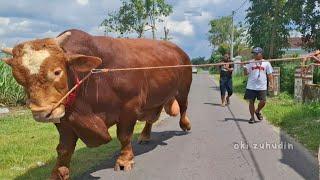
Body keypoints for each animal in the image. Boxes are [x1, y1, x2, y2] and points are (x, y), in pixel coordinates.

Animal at [0, 29, 192, 179]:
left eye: (57, 72)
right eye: (18, 78)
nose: (41, 113)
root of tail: (179, 50)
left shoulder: (129, 107)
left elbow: (124, 136)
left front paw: (124, 160)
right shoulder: (64, 117)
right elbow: (64, 148)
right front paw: (59, 172)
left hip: (183, 88)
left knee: (183, 107)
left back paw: (185, 125)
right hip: (155, 96)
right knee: (152, 117)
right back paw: (145, 135)